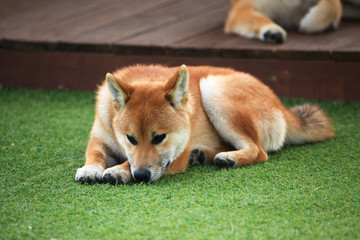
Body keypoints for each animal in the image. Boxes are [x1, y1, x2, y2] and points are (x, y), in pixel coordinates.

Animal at [74, 64, 334, 185]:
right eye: (131, 138)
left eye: (159, 138)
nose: (141, 175)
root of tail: (279, 103)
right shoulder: (100, 138)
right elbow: (94, 154)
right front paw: (90, 169)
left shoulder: (175, 158)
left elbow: (129, 162)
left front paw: (120, 170)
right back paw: (204, 155)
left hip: (213, 91)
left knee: (259, 151)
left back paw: (229, 158)